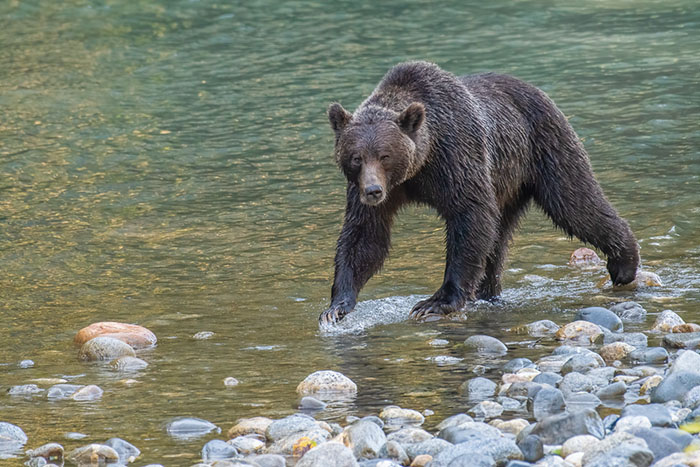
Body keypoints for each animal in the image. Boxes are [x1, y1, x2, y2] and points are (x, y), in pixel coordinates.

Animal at [319, 61, 639, 324]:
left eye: (385, 155)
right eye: (356, 157)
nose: (373, 190)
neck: (419, 166)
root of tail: (535, 89)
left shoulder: (455, 155)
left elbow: (470, 215)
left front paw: (435, 302)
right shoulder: (376, 190)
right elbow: (365, 236)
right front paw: (336, 306)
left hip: (544, 146)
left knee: (574, 202)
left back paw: (624, 264)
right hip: (507, 183)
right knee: (498, 237)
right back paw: (487, 293)